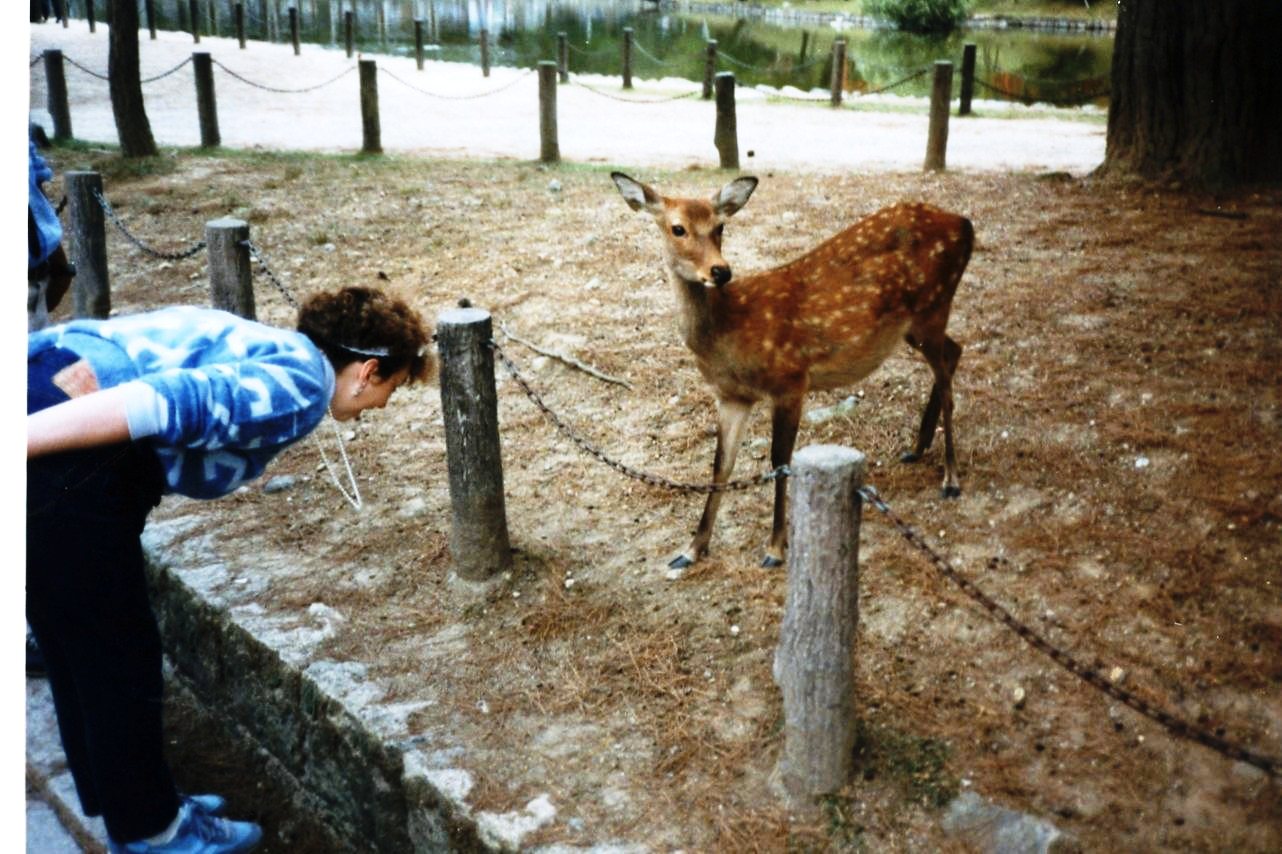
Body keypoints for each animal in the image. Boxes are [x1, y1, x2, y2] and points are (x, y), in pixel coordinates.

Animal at [611, 172, 974, 570]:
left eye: (720, 226)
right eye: (678, 228)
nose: (720, 271)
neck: (728, 332)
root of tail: (965, 224)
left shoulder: (789, 380)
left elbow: (780, 461)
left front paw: (775, 548)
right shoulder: (731, 396)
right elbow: (721, 465)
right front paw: (691, 549)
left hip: (933, 306)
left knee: (947, 377)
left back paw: (951, 478)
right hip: (915, 325)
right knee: (954, 352)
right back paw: (918, 448)